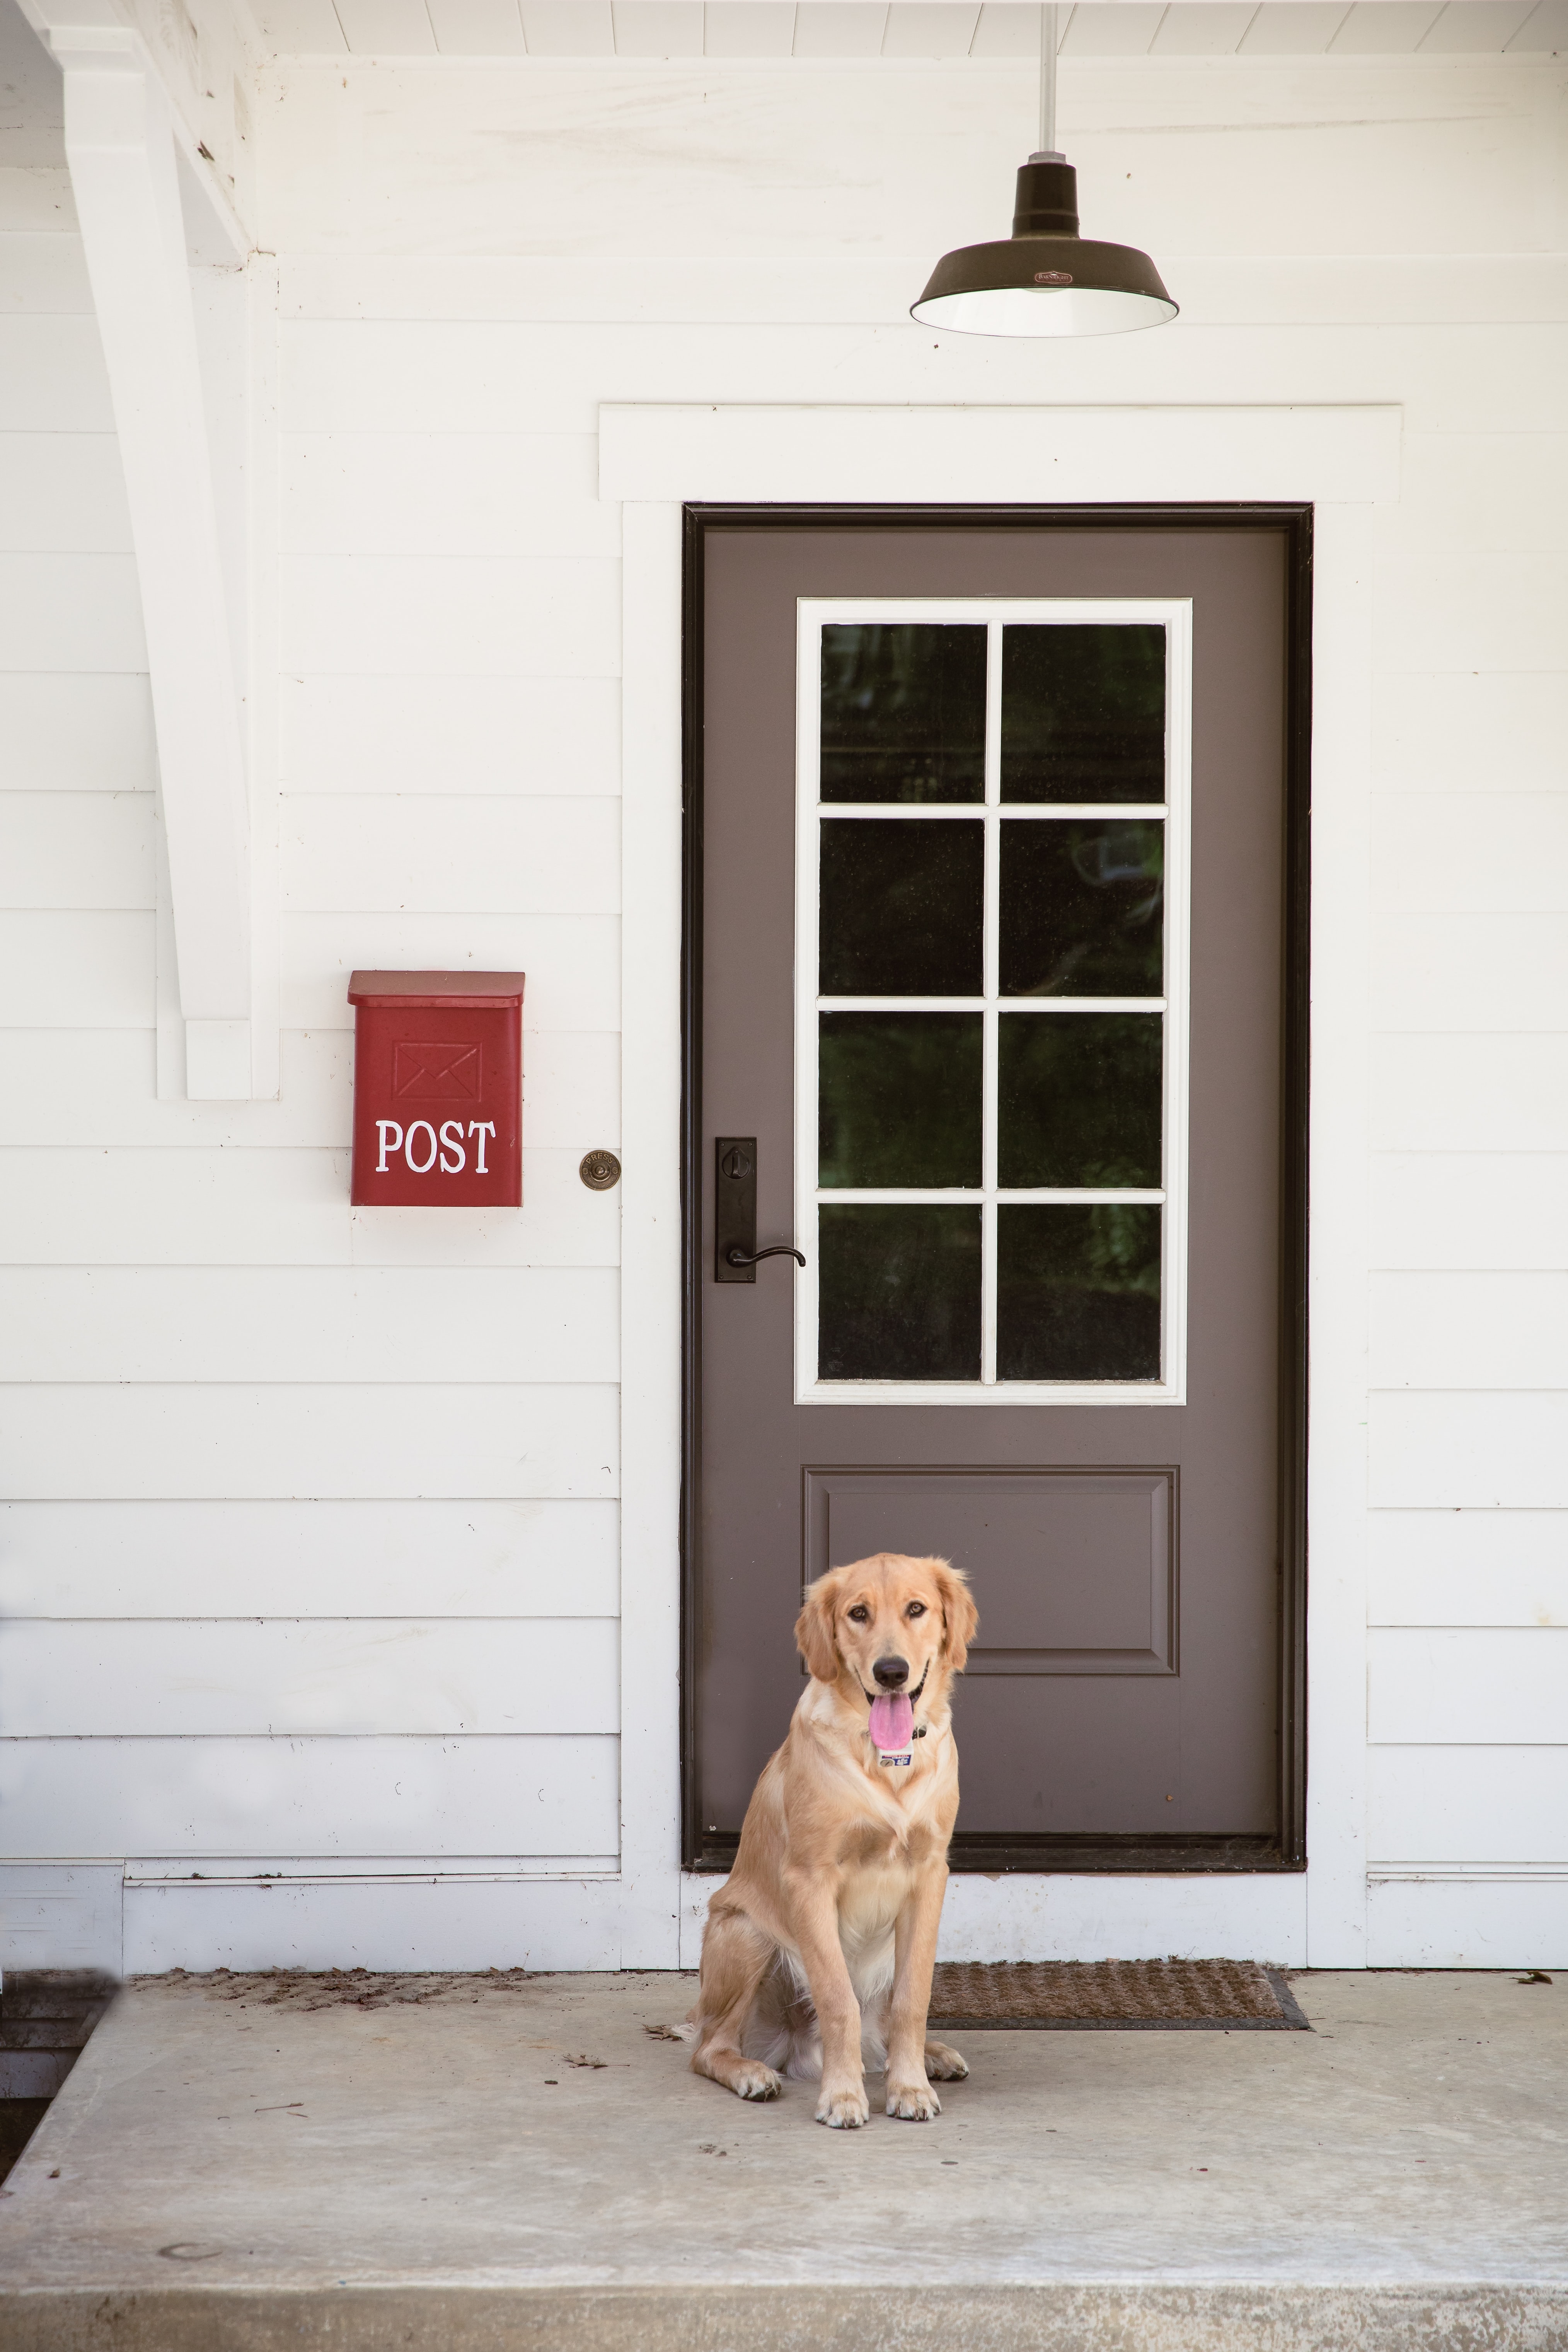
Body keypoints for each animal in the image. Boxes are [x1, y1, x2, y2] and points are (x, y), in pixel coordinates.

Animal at [691, 1552, 973, 2126]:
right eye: (858, 1613)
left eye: (917, 1609)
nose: (892, 1672)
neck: (886, 1759)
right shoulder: (810, 1878)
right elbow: (838, 1998)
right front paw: (842, 2096)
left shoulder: (930, 1874)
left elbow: (914, 1998)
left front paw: (909, 2087)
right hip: (745, 1933)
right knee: (709, 2047)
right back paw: (752, 2072)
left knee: (884, 2029)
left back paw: (930, 2057)